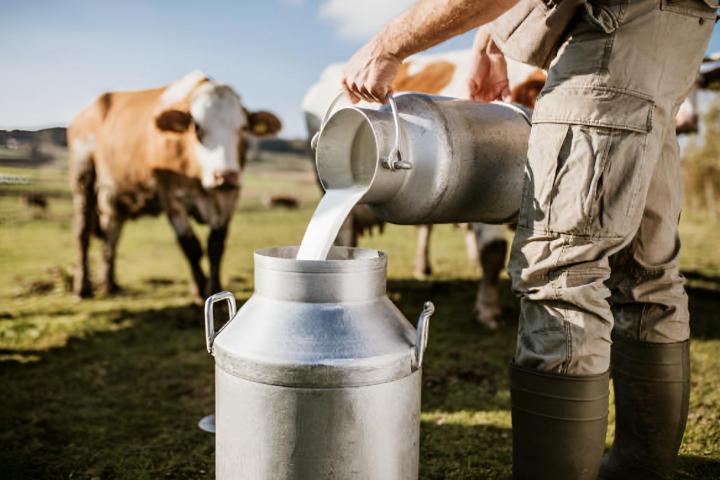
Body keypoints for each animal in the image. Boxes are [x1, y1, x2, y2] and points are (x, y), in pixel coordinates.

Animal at [68, 71, 281, 303]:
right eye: (197, 127)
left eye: (242, 128)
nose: (225, 176)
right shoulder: (172, 198)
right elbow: (191, 246)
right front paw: (200, 291)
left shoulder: (229, 198)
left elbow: (216, 246)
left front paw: (215, 288)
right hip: (83, 177)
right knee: (82, 234)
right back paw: (82, 288)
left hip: (114, 198)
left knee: (111, 235)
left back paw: (110, 284)